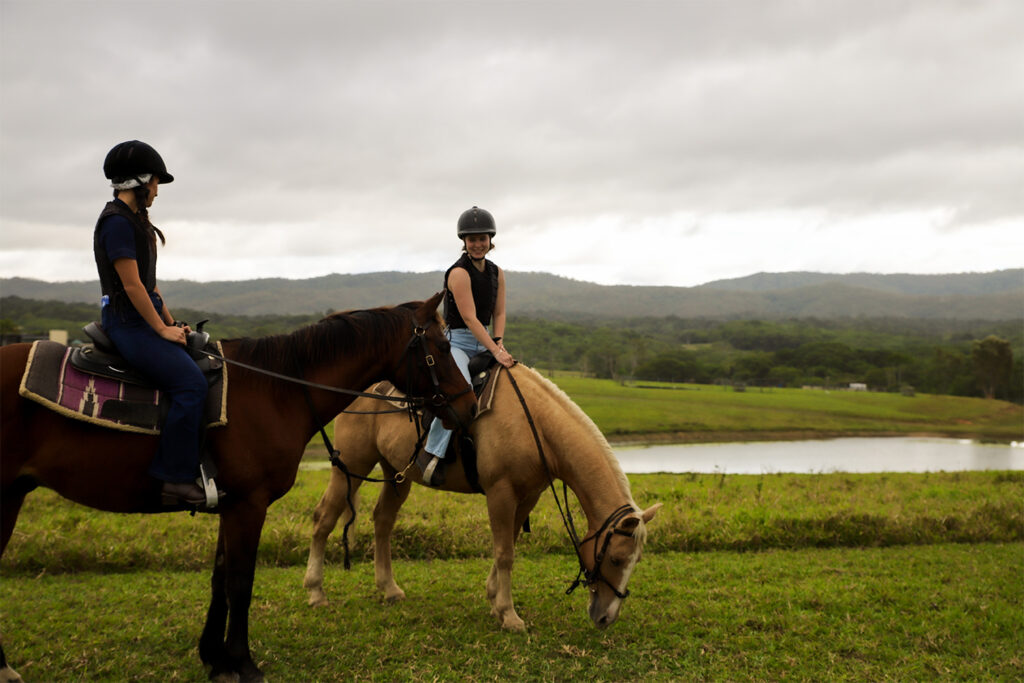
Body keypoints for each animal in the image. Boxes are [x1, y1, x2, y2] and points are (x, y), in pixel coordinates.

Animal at [0, 292, 476, 683]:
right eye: (440, 347)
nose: (470, 405)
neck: (277, 390)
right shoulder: (249, 505)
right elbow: (240, 582)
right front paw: (243, 662)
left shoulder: (229, 504)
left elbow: (220, 578)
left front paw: (215, 658)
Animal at [303, 363, 661, 632]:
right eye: (616, 559)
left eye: (636, 561)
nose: (606, 618)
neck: (535, 423)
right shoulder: (500, 492)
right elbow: (504, 553)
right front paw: (509, 614)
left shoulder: (527, 496)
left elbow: (510, 544)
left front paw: (494, 601)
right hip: (350, 466)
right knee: (324, 517)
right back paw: (316, 592)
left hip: (395, 472)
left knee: (383, 520)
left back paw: (388, 588)